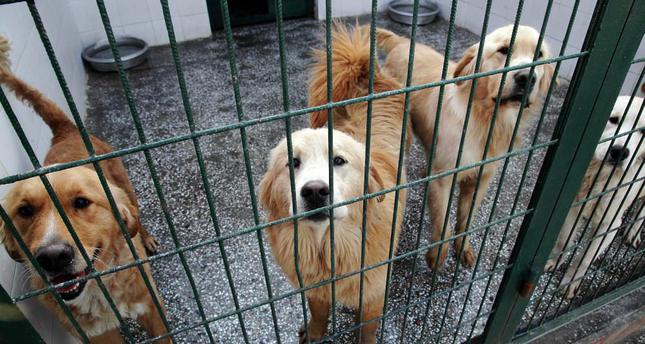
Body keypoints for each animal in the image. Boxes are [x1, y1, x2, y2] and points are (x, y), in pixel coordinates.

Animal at [0, 36, 169, 342]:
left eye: (81, 203)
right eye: (25, 211)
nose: (53, 257)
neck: (98, 287)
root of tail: (65, 130)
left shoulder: (152, 309)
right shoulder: (97, 335)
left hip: (126, 187)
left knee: (137, 216)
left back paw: (147, 238)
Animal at [260, 24, 408, 344]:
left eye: (339, 161)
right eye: (293, 162)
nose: (315, 191)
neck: (328, 247)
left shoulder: (373, 294)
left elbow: (367, 330)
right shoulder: (313, 287)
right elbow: (317, 315)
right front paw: (314, 333)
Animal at [378, 25, 552, 270]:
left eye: (540, 55)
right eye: (504, 50)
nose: (527, 77)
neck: (486, 120)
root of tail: (402, 42)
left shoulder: (481, 179)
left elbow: (465, 221)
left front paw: (463, 249)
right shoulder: (444, 180)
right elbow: (443, 222)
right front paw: (437, 255)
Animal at [544, 96, 644, 298]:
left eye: (643, 131)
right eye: (613, 119)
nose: (619, 151)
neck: (601, 176)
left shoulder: (609, 226)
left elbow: (585, 259)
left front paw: (569, 283)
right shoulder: (572, 208)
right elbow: (564, 241)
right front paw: (554, 262)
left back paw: (633, 232)